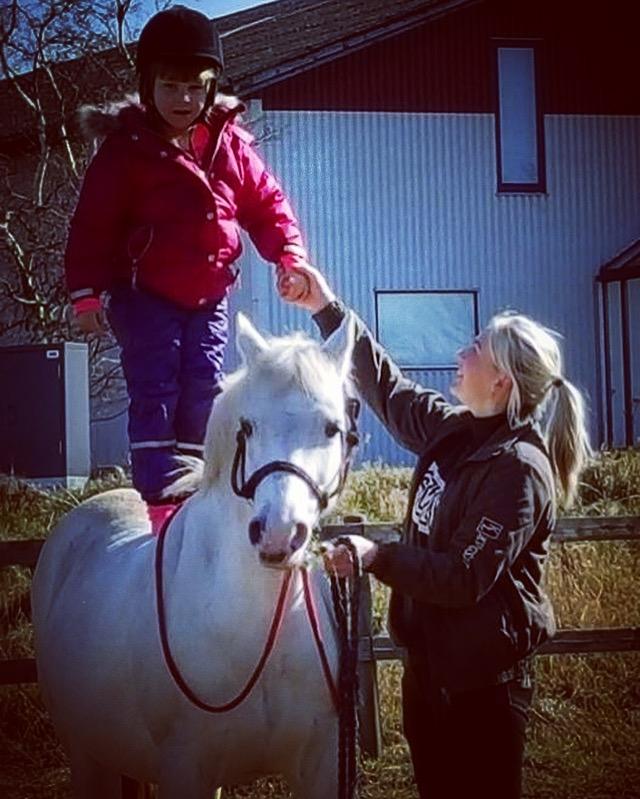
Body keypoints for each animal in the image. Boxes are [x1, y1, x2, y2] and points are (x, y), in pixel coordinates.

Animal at [31, 312, 358, 799]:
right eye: (248, 427)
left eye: (332, 428)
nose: (278, 534)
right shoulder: (185, 766)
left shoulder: (320, 766)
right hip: (87, 755)